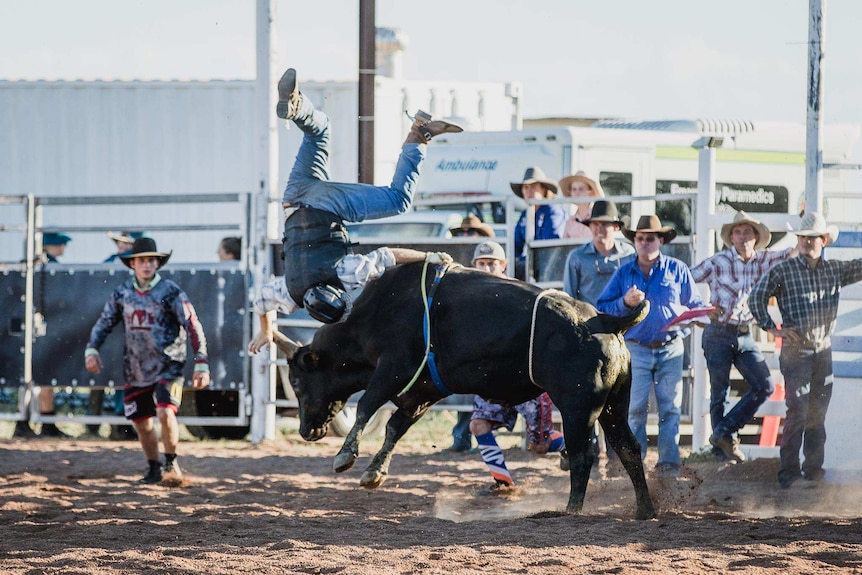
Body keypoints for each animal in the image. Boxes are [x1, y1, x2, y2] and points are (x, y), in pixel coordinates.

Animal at [280, 264, 660, 520]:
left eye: (297, 382)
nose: (306, 430)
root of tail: (604, 320)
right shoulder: (424, 390)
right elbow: (395, 426)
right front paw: (374, 472)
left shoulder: (393, 367)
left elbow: (367, 406)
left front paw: (345, 456)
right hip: (613, 405)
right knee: (629, 448)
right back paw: (645, 509)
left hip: (577, 407)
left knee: (583, 455)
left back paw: (570, 510)